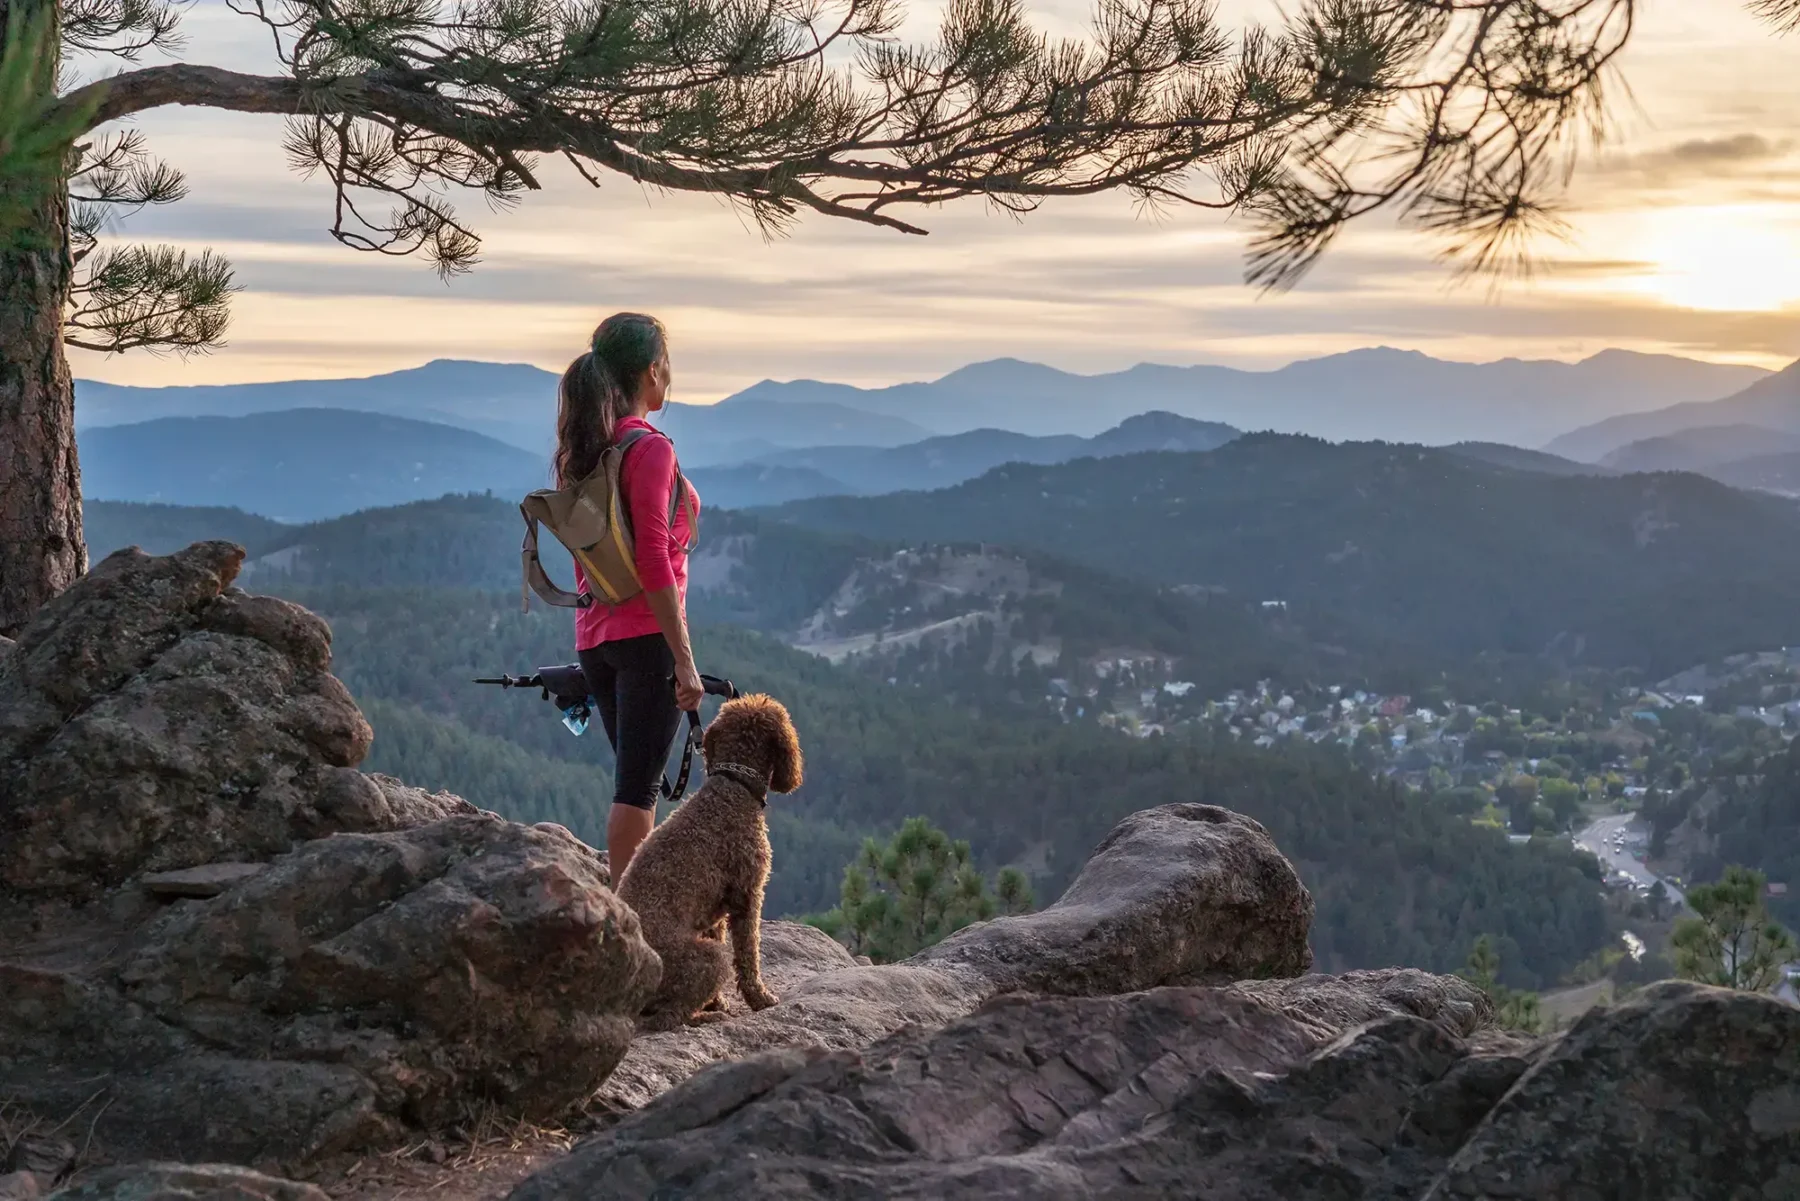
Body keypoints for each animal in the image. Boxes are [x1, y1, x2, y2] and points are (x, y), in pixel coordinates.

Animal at [619, 695, 802, 1037]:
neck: (732, 787)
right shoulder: (747, 895)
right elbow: (749, 953)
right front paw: (759, 998)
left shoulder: (714, 912)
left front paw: (718, 1001)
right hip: (708, 959)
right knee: (671, 1017)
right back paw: (707, 1017)